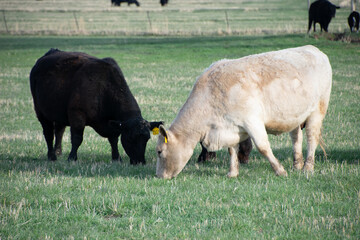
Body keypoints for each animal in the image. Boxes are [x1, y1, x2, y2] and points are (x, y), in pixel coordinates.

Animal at [30, 48, 162, 165]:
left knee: (59, 130)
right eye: (130, 138)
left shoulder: (112, 124)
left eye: (147, 138)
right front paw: (72, 158)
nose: (140, 161)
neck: (103, 88)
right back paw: (52, 156)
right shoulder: (77, 114)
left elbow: (113, 139)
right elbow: (77, 138)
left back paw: (58, 151)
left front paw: (116, 158)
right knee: (48, 133)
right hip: (40, 111)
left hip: (58, 113)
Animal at [157, 46, 332, 179]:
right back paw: (297, 164)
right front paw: (233, 172)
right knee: (296, 138)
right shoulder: (232, 127)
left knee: (312, 138)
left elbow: (263, 147)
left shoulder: (252, 121)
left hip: (317, 110)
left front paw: (280, 170)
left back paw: (307, 168)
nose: (159, 176)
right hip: (295, 116)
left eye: (159, 151)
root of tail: (314, 50)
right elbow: (232, 149)